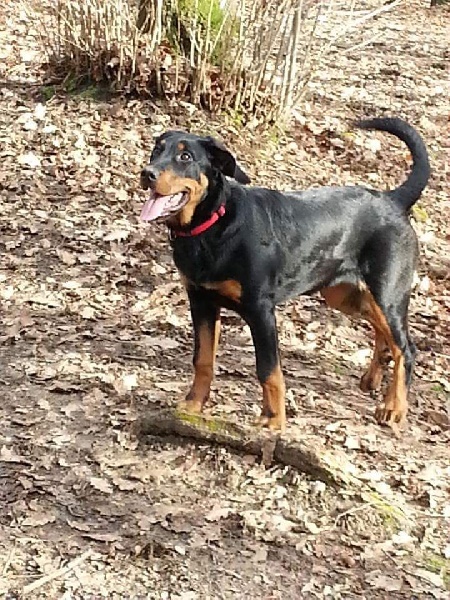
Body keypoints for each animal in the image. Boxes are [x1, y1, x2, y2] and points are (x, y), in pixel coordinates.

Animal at [139, 117, 430, 432]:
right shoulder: (201, 301)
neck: (213, 226)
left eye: (185, 157)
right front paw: (193, 404)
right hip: (344, 294)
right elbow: (203, 359)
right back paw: (373, 379)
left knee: (406, 347)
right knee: (383, 334)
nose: (147, 173)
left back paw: (393, 407)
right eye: (157, 150)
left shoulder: (260, 310)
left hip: (387, 292)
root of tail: (393, 199)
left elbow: (269, 370)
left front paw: (273, 418)